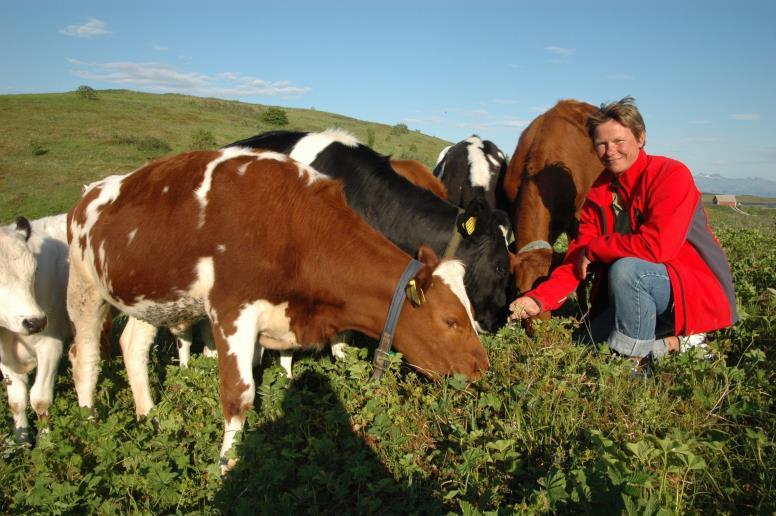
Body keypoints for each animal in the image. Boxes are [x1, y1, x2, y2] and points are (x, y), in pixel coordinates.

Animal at [68, 147, 492, 470]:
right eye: (451, 320)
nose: (483, 369)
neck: (294, 226)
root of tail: (92, 191)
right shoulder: (232, 311)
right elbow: (239, 395)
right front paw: (228, 467)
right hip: (84, 289)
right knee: (84, 354)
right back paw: (88, 425)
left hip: (147, 296)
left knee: (132, 346)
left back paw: (149, 416)